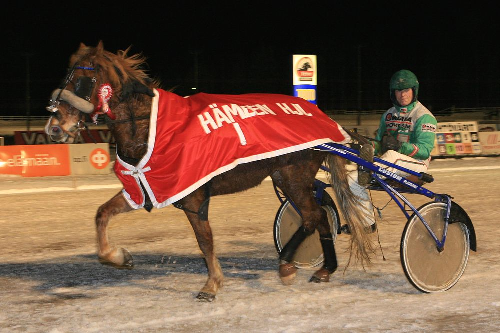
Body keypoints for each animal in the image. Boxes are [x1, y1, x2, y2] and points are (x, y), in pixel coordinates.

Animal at [45, 42, 372, 300]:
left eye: (84, 80)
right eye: (66, 76)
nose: (54, 127)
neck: (152, 128)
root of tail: (320, 115)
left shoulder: (194, 197)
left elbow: (205, 241)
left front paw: (211, 284)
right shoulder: (142, 189)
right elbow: (101, 214)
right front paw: (119, 256)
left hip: (294, 176)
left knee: (312, 217)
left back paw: (287, 265)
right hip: (287, 177)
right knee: (319, 217)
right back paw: (325, 270)